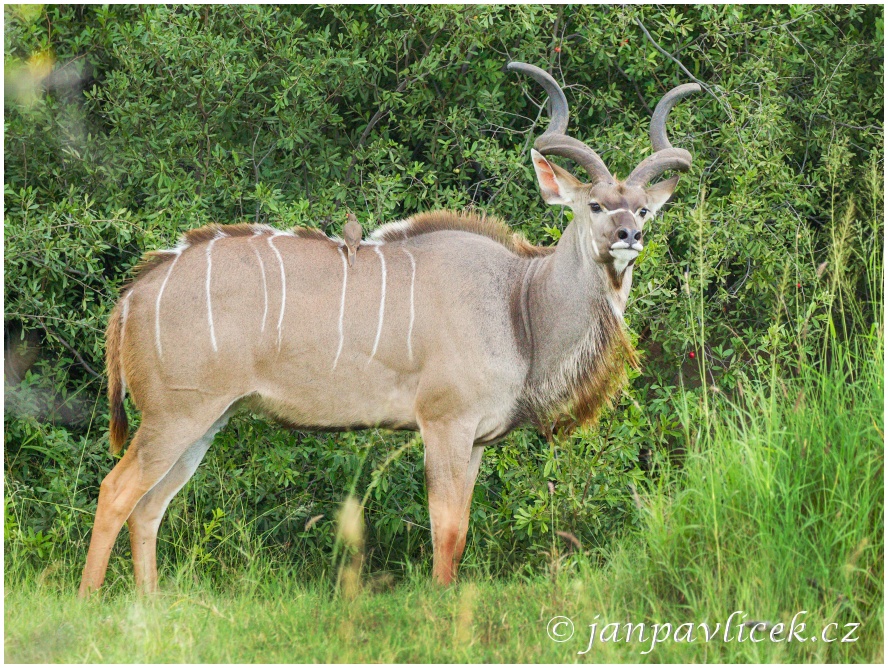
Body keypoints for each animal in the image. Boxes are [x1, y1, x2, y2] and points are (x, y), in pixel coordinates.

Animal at [78, 62, 700, 596]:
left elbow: (461, 527)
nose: (628, 236)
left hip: (206, 421)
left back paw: (148, 603)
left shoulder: (476, 439)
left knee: (150, 506)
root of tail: (133, 295)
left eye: (644, 209)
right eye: (593, 205)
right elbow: (445, 529)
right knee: (116, 492)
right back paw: (89, 602)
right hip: (175, 415)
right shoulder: (444, 424)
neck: (517, 300)